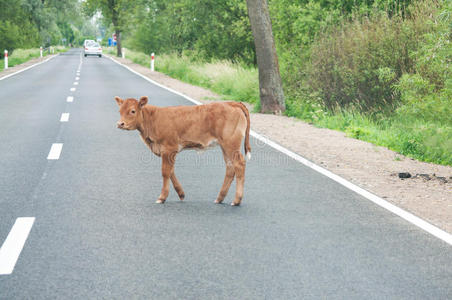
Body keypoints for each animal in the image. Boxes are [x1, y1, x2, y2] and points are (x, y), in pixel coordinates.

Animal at [114, 96, 251, 206]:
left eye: (132, 111)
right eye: (120, 111)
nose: (120, 124)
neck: (152, 119)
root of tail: (232, 103)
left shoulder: (169, 148)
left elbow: (165, 172)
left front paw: (162, 197)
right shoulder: (167, 151)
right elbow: (171, 171)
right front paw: (181, 194)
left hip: (231, 144)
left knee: (239, 165)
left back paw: (237, 200)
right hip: (225, 146)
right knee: (230, 168)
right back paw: (219, 198)